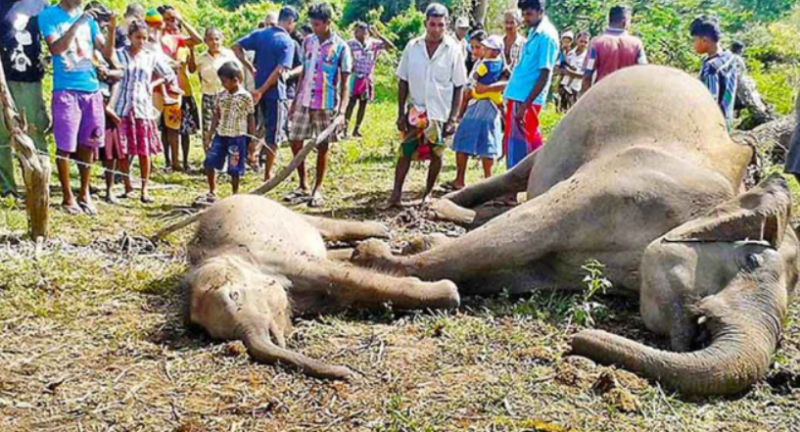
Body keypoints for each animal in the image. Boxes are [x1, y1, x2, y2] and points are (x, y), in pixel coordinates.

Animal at [182, 194, 456, 380]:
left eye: (235, 295)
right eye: (216, 335)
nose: (350, 374)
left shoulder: (274, 256)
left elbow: (344, 278)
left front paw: (450, 292)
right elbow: (340, 293)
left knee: (322, 226)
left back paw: (381, 231)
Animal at [356, 66, 800, 394]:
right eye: (750, 259)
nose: (576, 341)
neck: (729, 192)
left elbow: (516, 267)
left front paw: (402, 249)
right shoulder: (622, 182)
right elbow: (515, 232)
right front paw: (371, 253)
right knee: (518, 176)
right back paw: (433, 206)